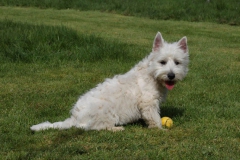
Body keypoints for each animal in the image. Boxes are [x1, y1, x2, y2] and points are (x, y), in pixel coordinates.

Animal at [30, 31, 189, 132]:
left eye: (177, 62)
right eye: (162, 62)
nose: (171, 75)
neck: (152, 74)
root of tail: (73, 118)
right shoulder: (148, 102)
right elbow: (154, 117)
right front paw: (160, 129)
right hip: (104, 110)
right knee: (94, 127)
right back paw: (116, 128)